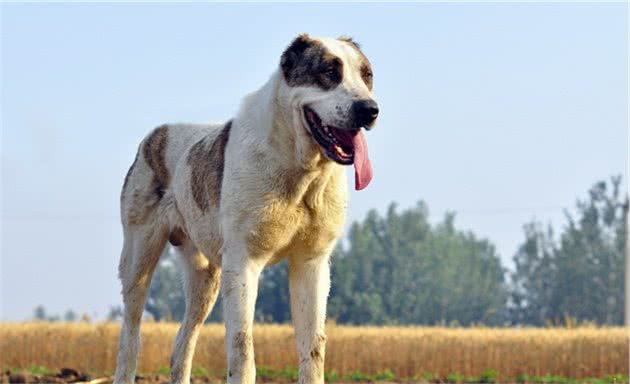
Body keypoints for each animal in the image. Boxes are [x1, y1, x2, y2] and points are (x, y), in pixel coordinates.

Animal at [114, 33, 380, 384]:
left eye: (367, 76)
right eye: (329, 72)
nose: (369, 109)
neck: (299, 170)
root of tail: (154, 134)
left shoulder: (312, 263)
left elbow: (313, 349)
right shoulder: (243, 263)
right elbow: (242, 348)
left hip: (205, 279)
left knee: (182, 344)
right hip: (138, 261)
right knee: (130, 337)